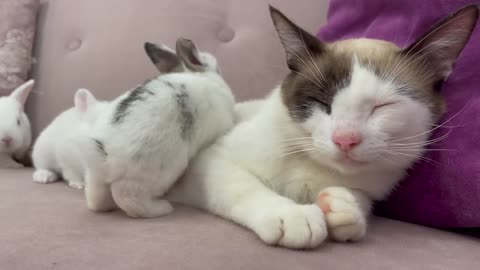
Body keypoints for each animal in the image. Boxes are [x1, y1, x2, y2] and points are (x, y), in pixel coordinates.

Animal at [80, 38, 236, 218]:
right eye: (218, 68)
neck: (202, 76)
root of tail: (105, 155)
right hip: (159, 171)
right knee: (127, 198)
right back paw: (162, 208)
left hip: (94, 179)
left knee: (96, 201)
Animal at [166, 4, 476, 249]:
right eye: (321, 102)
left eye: (382, 106)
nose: (345, 139)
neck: (316, 169)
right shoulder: (208, 161)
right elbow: (243, 185)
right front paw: (292, 215)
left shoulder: (371, 188)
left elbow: (361, 201)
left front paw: (344, 207)